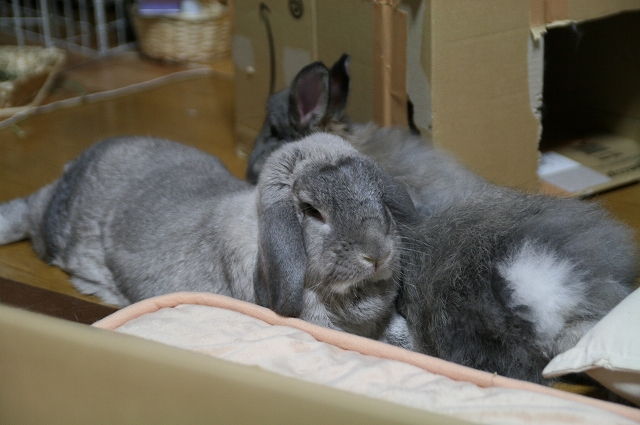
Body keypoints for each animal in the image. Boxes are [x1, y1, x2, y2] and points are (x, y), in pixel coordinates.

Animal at [0, 134, 419, 349]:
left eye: (378, 195)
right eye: (312, 211)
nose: (377, 254)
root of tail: (82, 160)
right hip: (55, 234)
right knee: (31, 210)